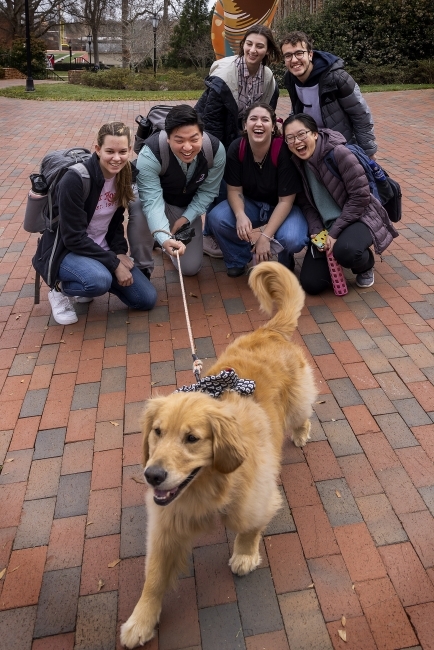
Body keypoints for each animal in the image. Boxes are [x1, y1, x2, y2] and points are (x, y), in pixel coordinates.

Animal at [120, 260, 318, 644]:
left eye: (192, 438)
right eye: (157, 432)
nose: (152, 476)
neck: (207, 487)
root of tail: (268, 331)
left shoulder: (256, 499)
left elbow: (249, 526)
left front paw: (244, 555)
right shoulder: (166, 524)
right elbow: (154, 577)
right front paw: (140, 620)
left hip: (298, 402)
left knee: (303, 414)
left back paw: (301, 434)